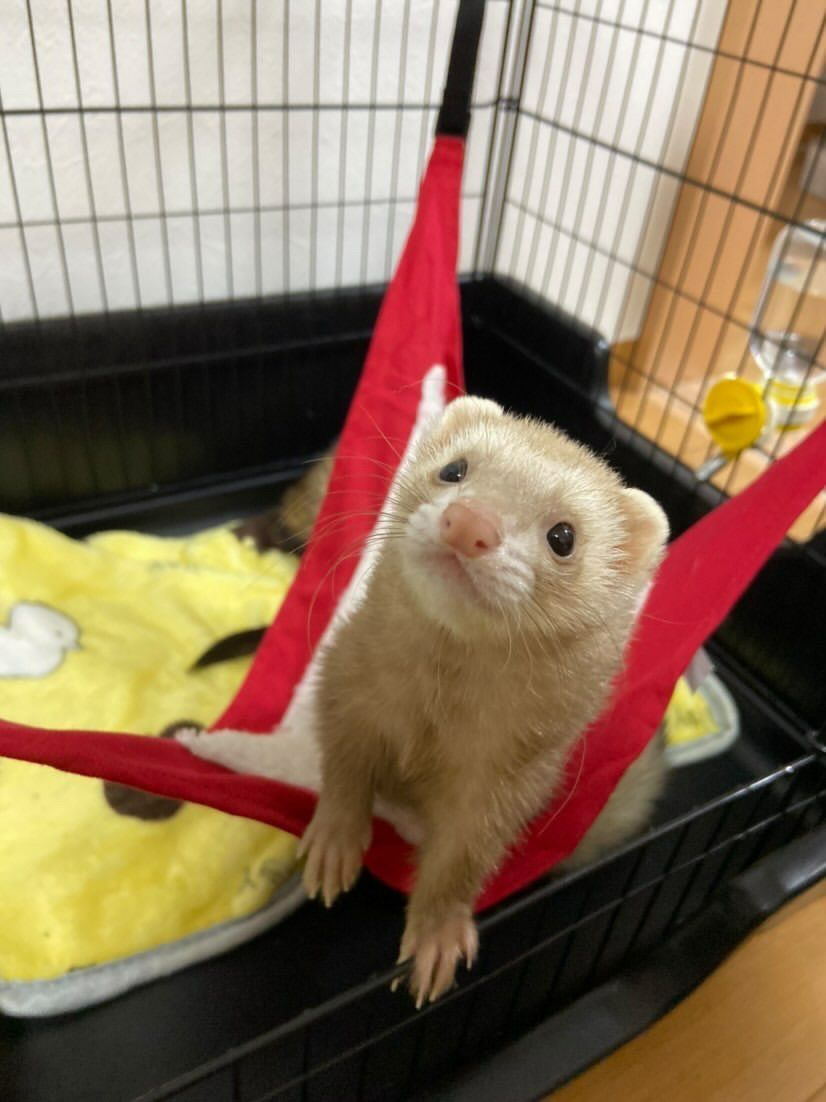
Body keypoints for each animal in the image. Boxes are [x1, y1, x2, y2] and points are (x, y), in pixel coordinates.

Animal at [299, 396, 669, 1005]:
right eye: (455, 468)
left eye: (564, 536)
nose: (470, 522)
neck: (430, 718)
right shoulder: (349, 685)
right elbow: (345, 770)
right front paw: (333, 842)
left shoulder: (508, 783)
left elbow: (462, 861)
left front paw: (436, 937)